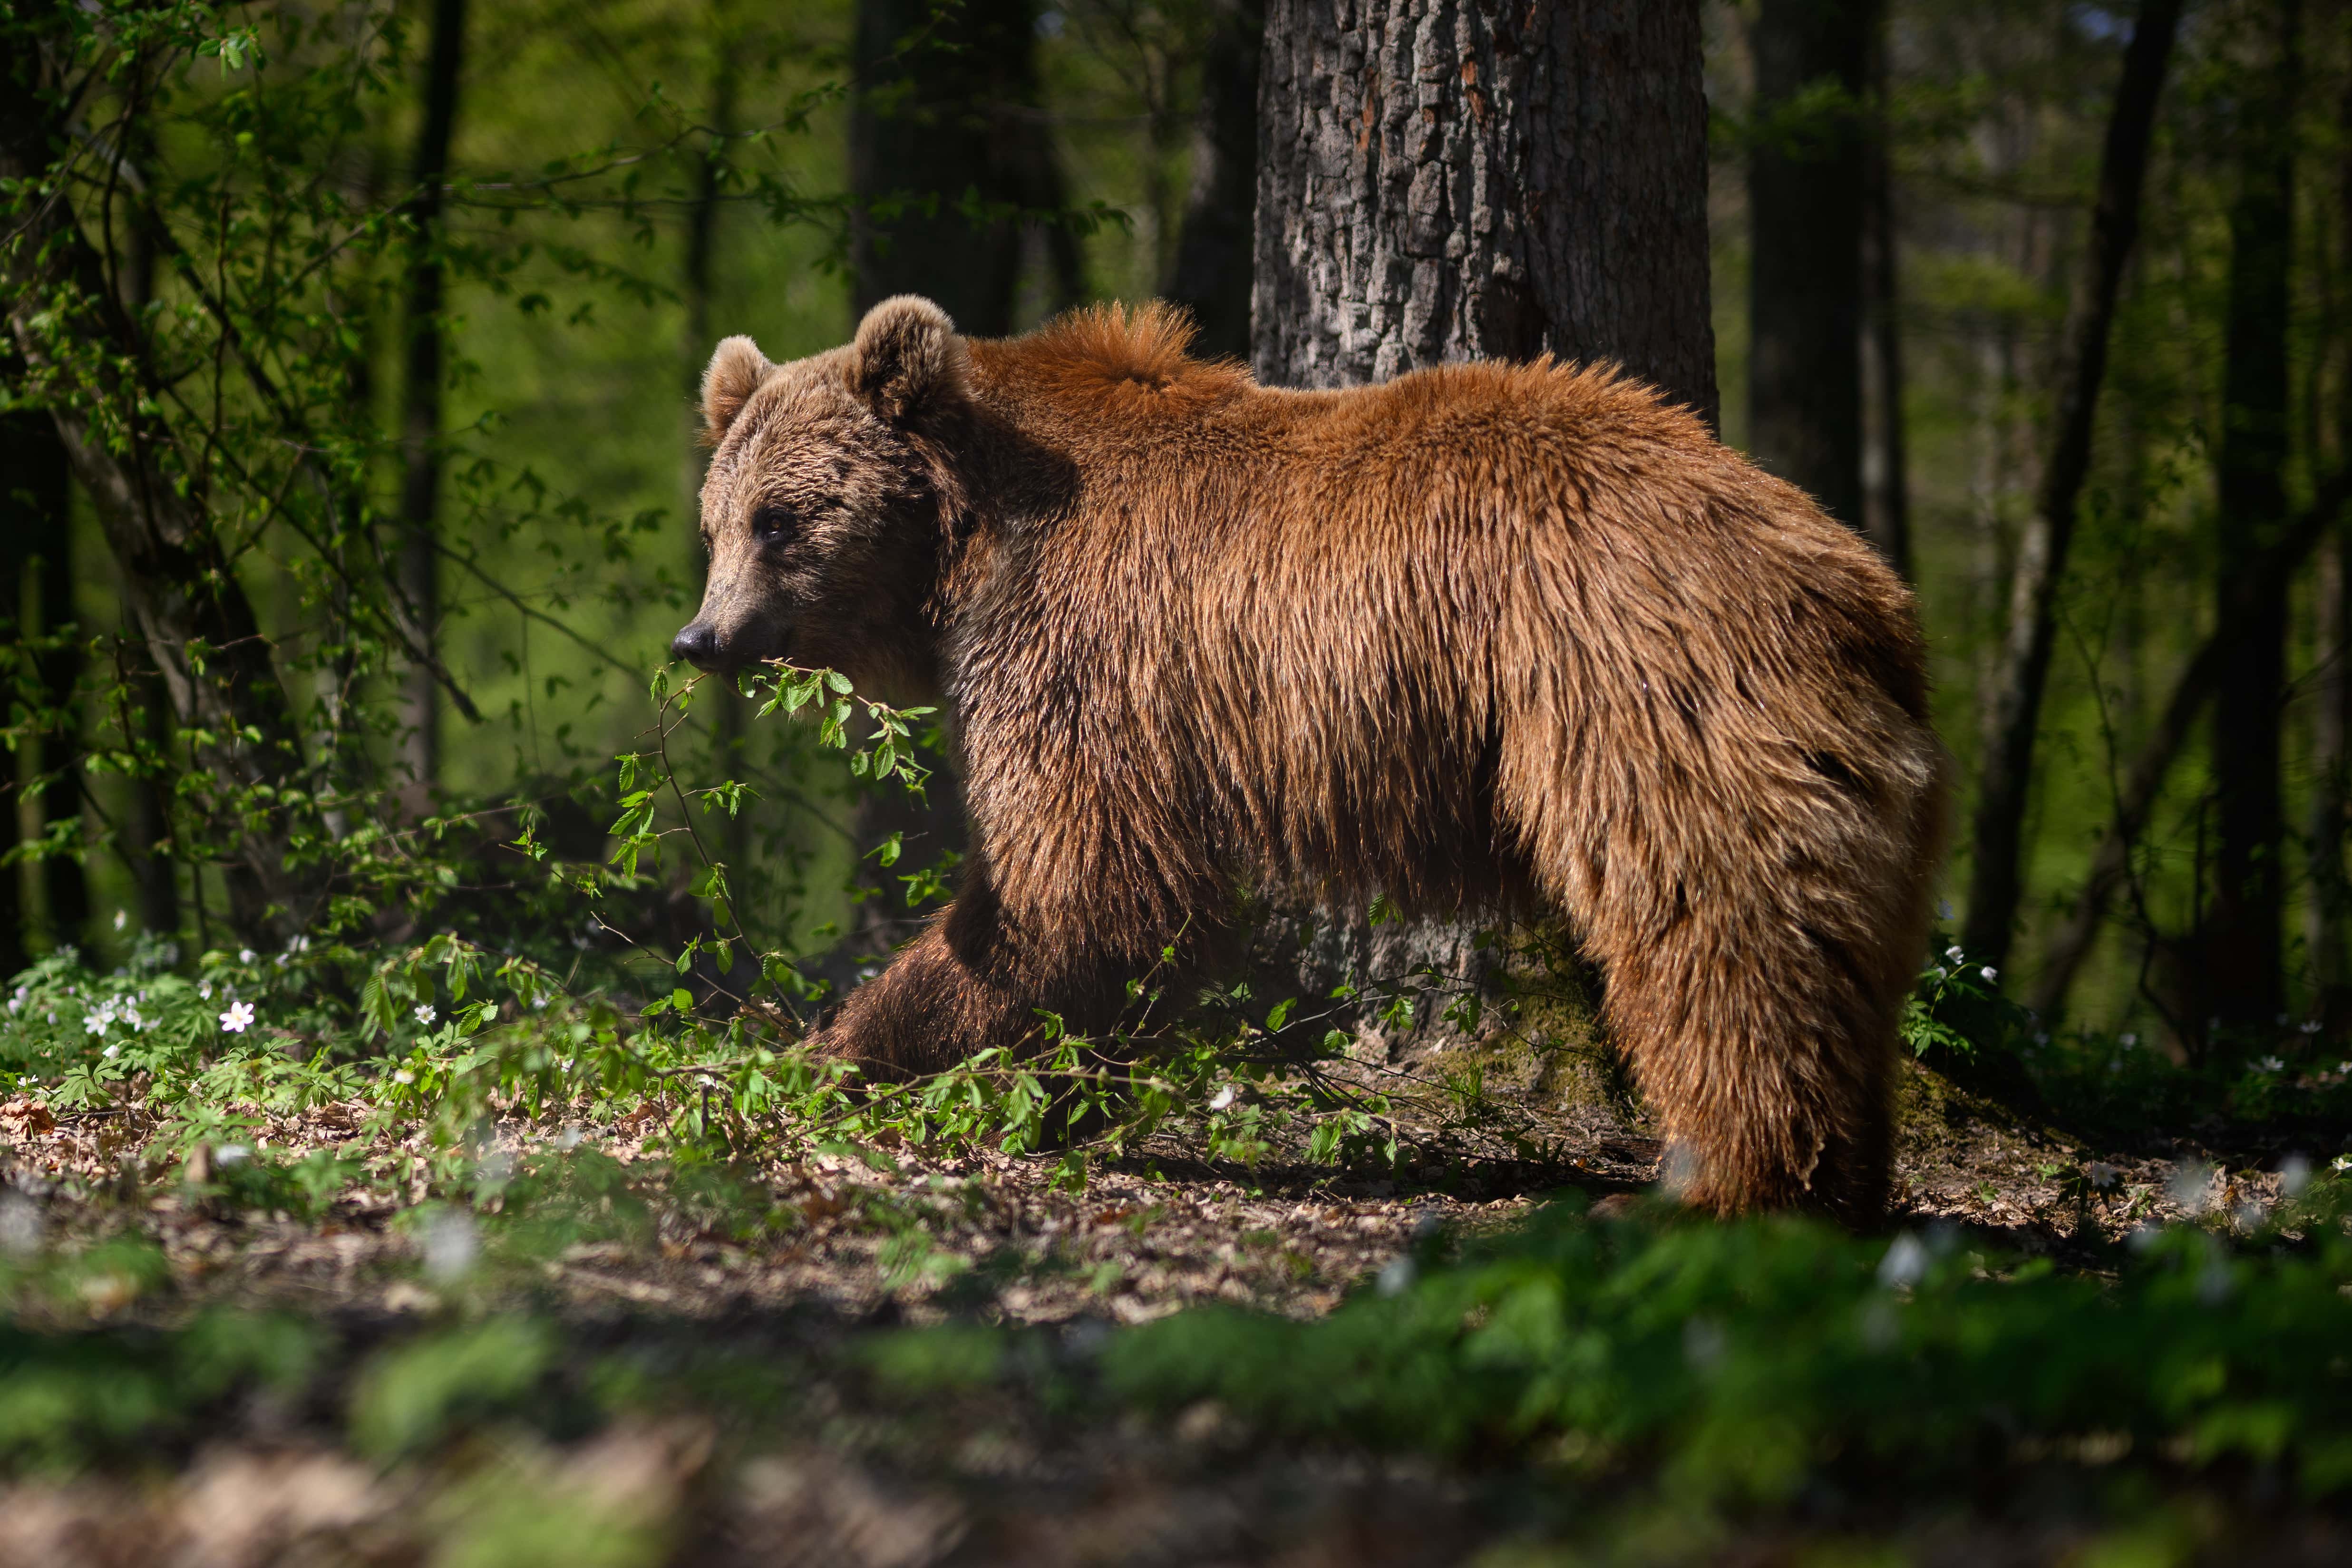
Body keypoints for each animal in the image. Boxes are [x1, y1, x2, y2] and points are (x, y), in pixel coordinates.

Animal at [672, 295, 1949, 1222]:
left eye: (783, 518)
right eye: (716, 519)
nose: (701, 638)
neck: (971, 538)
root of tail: (1856, 586)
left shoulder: (1082, 640)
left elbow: (1078, 881)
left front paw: (854, 1049)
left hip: (1633, 693)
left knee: (1716, 922)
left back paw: (1724, 1181)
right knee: (1834, 945)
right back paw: (1840, 1179)